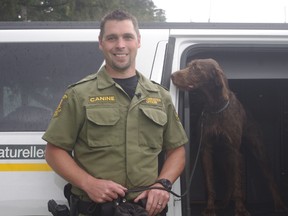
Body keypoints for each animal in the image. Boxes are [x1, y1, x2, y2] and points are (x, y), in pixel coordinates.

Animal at [171, 58, 286, 215]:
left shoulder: (235, 151)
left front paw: (240, 210)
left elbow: (238, 183)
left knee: (269, 179)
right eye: (189, 65)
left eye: (196, 68)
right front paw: (210, 208)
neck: (215, 107)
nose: (172, 76)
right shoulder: (206, 150)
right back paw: (224, 203)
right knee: (229, 183)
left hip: (258, 151)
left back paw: (279, 205)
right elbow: (210, 183)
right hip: (221, 160)